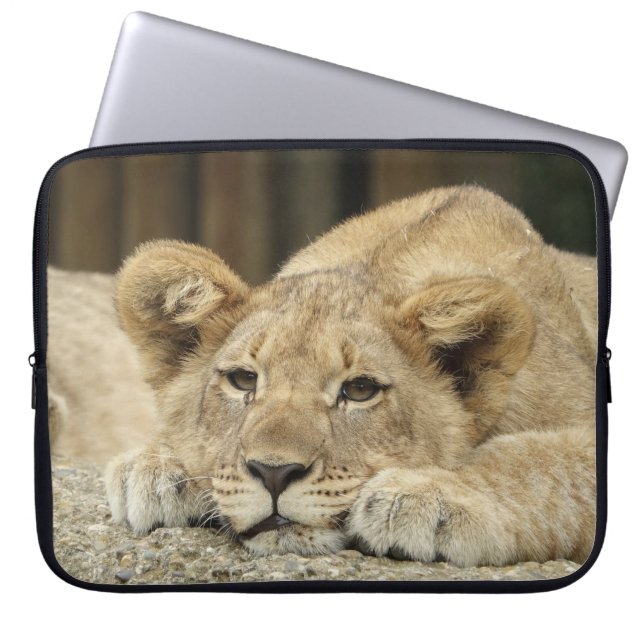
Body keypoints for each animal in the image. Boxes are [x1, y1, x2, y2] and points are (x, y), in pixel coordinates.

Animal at [69, 185, 596, 568]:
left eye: (359, 390)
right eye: (243, 381)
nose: (274, 473)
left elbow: (542, 464)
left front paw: (424, 496)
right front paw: (156, 470)